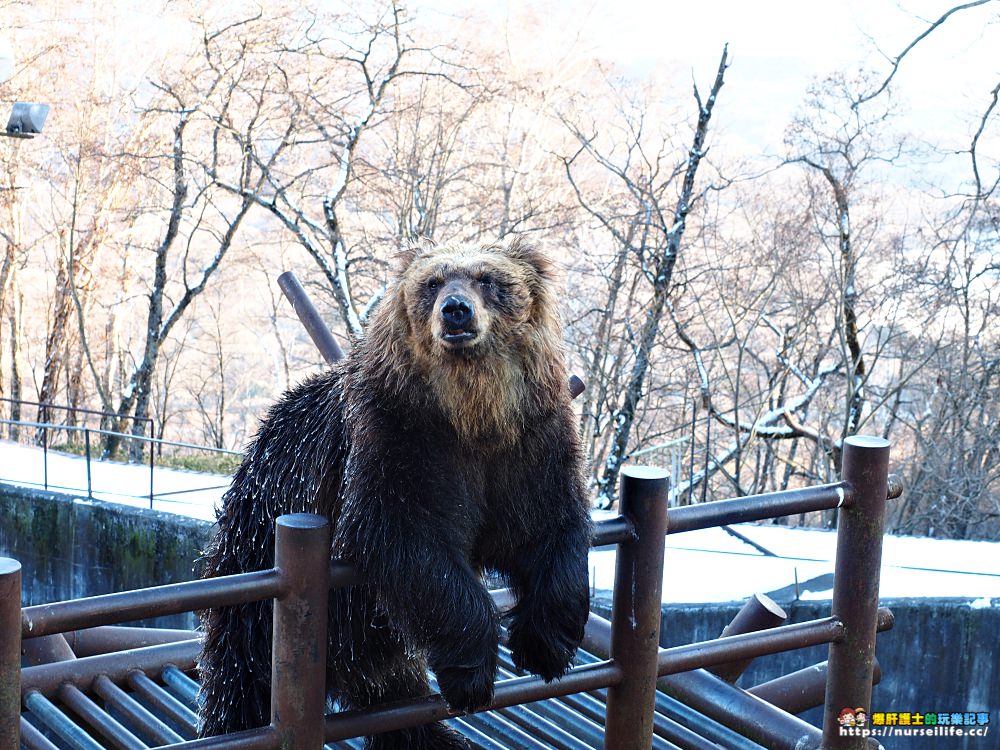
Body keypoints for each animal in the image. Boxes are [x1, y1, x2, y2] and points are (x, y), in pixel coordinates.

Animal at [197, 239, 592, 750]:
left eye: (488, 279)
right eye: (433, 283)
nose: (456, 310)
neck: (474, 415)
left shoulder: (531, 443)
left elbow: (549, 526)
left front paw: (545, 645)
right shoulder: (400, 437)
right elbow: (405, 536)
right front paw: (471, 673)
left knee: (396, 697)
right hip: (257, 577)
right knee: (244, 682)